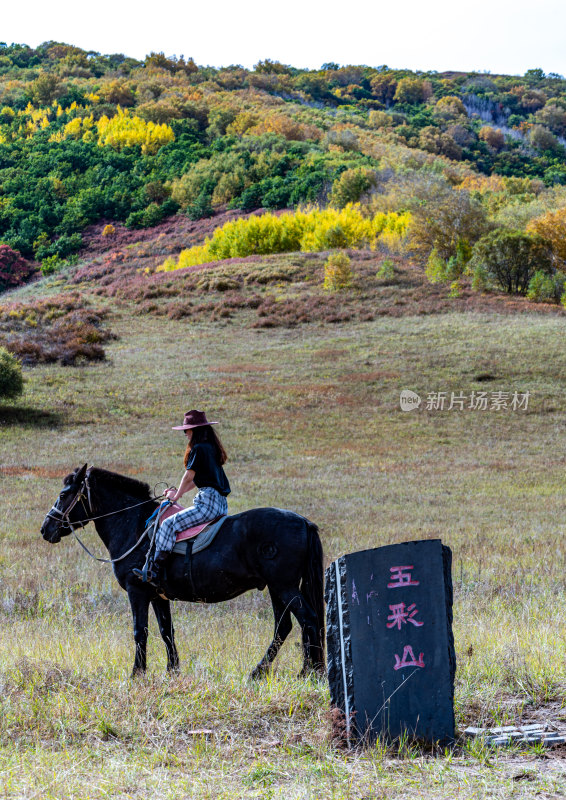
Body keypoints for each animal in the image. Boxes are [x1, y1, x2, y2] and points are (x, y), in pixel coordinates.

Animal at [40, 466, 326, 680]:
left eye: (64, 494)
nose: (46, 528)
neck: (134, 525)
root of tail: (303, 522)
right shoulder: (157, 596)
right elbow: (166, 631)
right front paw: (172, 670)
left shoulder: (137, 591)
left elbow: (140, 631)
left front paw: (137, 673)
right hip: (277, 589)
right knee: (284, 627)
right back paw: (261, 671)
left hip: (284, 587)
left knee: (308, 620)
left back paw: (308, 672)